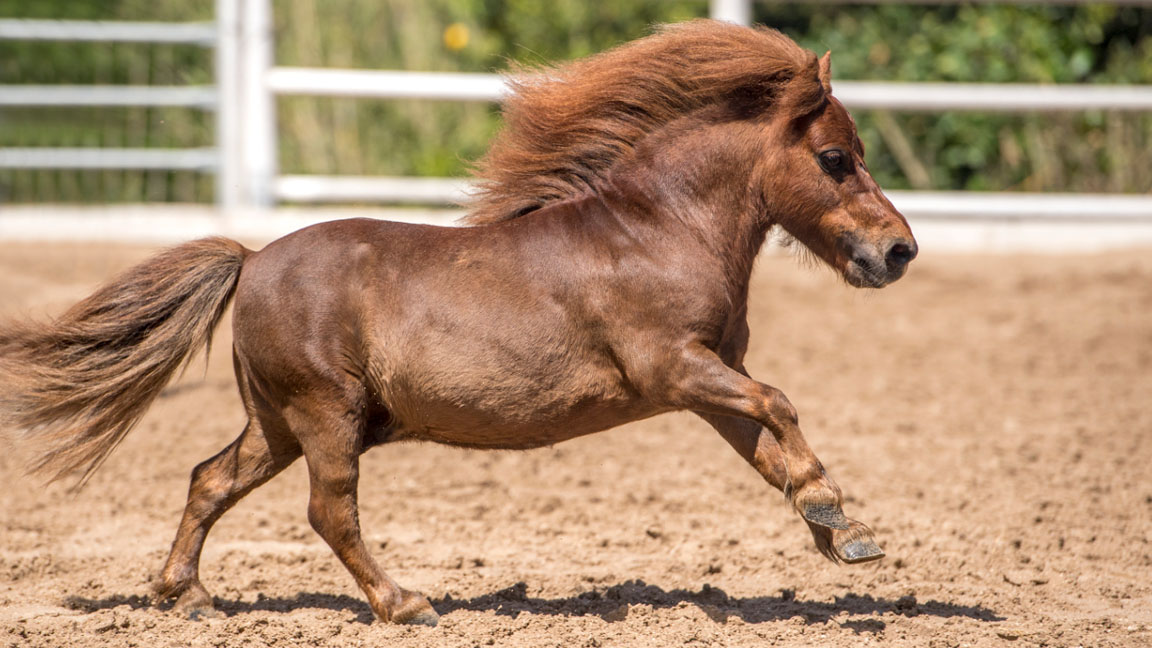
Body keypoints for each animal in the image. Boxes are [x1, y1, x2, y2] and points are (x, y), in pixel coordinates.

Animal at [0, 21, 916, 627]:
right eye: (836, 158)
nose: (899, 250)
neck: (657, 230)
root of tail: (251, 258)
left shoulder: (706, 385)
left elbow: (766, 444)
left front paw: (839, 529)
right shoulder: (673, 368)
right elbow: (781, 403)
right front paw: (837, 518)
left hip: (278, 423)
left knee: (208, 479)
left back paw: (185, 597)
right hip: (324, 415)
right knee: (329, 512)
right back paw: (405, 604)